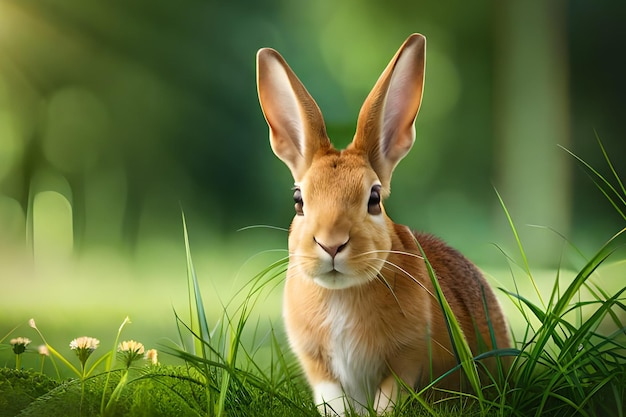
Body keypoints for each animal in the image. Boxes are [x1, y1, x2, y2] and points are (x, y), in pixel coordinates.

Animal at [254, 34, 508, 414]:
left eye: (374, 199)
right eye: (298, 201)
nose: (331, 243)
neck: (342, 293)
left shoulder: (407, 361)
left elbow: (390, 398)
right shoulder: (321, 370)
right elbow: (333, 401)